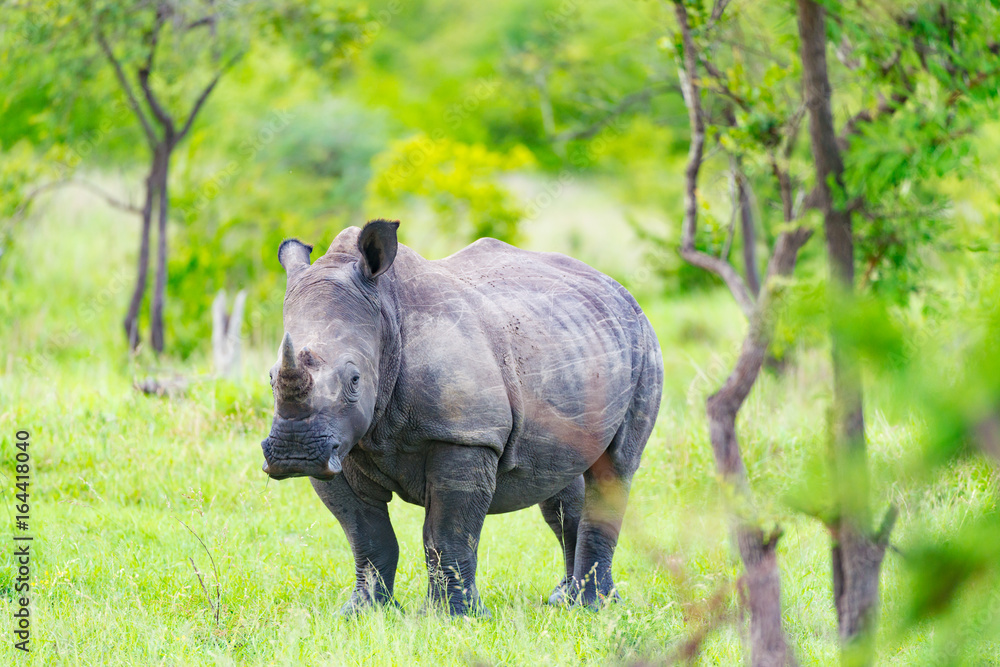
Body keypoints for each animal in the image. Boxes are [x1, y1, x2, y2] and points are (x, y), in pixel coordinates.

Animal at [261, 219, 663, 615]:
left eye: (355, 380)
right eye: (270, 377)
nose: (295, 454)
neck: (387, 319)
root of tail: (617, 287)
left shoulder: (466, 435)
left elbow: (447, 532)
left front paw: (453, 616)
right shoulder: (342, 447)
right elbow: (366, 534)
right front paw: (364, 612)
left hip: (644, 343)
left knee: (615, 467)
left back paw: (594, 607)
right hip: (574, 343)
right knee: (559, 477)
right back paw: (565, 600)